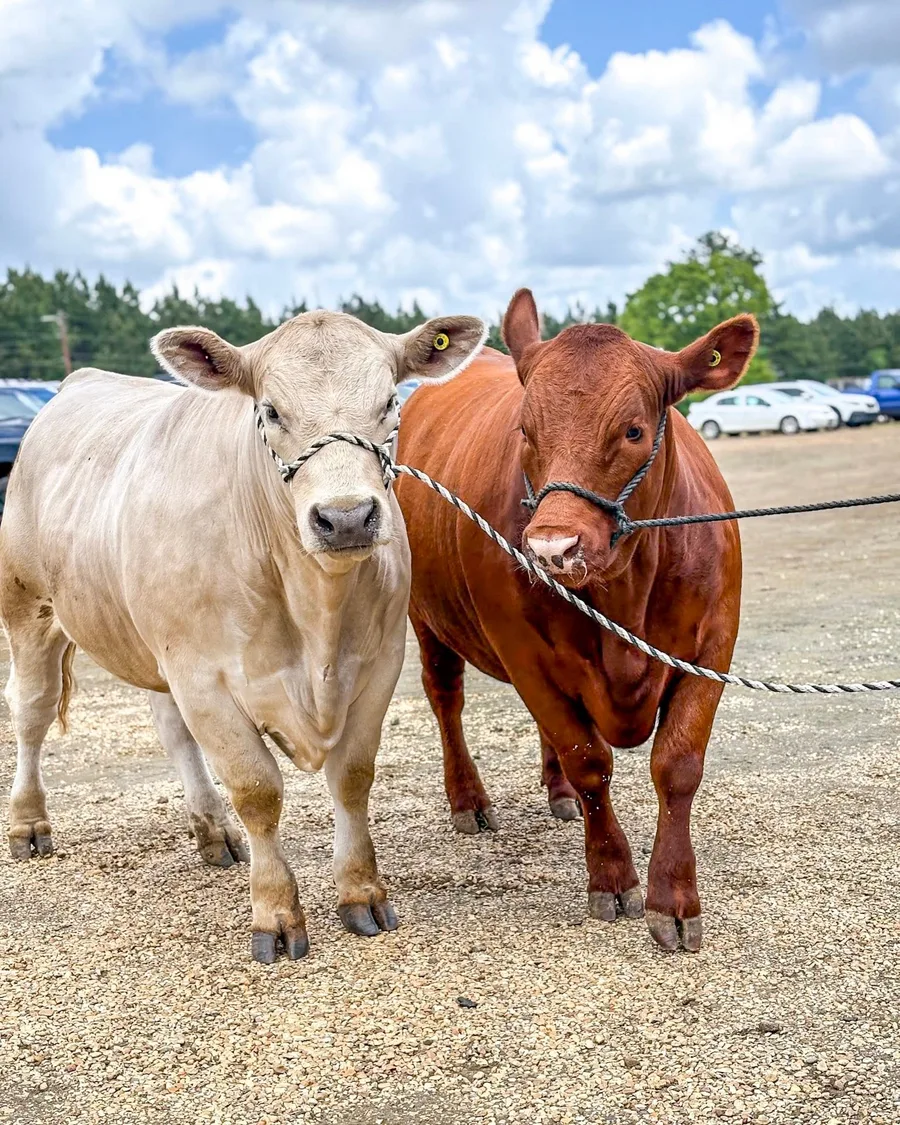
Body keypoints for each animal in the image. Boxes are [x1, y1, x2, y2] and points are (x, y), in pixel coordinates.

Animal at [1, 309, 485, 963]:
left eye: (390, 402)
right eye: (271, 411)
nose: (347, 518)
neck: (316, 615)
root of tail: (81, 380)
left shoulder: (379, 663)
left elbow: (352, 778)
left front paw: (362, 893)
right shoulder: (205, 678)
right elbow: (257, 789)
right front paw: (276, 914)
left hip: (153, 646)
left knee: (172, 732)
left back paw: (212, 830)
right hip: (29, 607)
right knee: (31, 712)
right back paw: (29, 823)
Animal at [396, 289, 756, 952]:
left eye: (633, 430)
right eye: (526, 431)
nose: (551, 548)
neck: (626, 588)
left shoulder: (711, 648)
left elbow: (677, 766)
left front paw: (675, 897)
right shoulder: (523, 652)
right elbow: (589, 761)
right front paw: (612, 877)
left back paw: (555, 793)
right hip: (425, 617)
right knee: (446, 698)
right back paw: (468, 799)